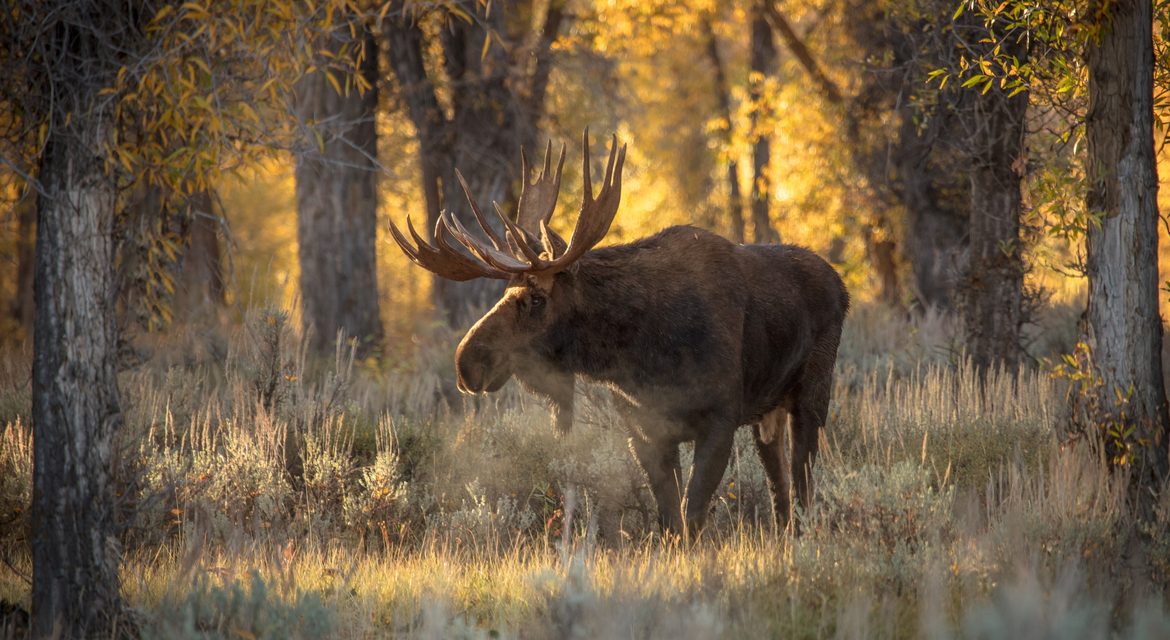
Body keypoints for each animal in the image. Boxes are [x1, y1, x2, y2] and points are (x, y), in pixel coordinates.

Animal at [388, 130, 849, 536]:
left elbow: (693, 515)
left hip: (811, 397)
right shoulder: (643, 430)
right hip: (767, 413)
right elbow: (671, 520)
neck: (640, 357)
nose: (467, 362)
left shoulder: (720, 418)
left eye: (537, 297)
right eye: (505, 292)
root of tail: (841, 285)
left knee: (802, 486)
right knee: (780, 492)